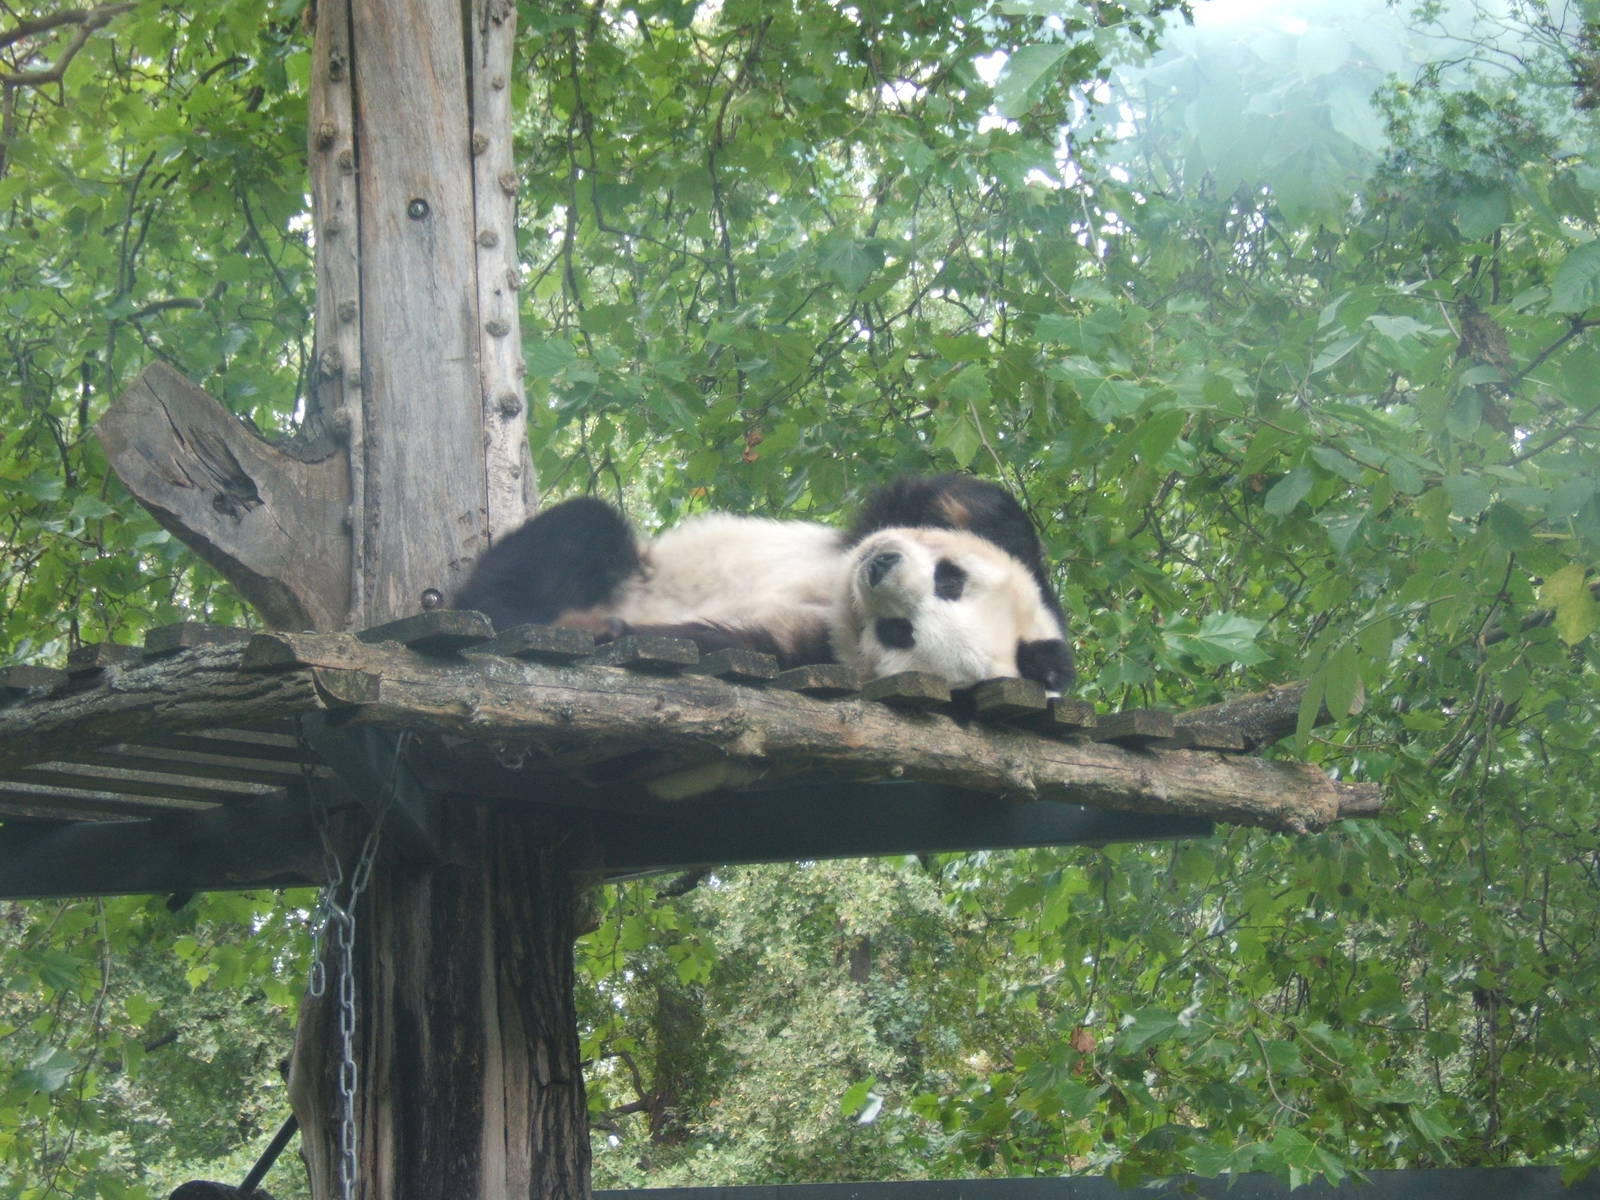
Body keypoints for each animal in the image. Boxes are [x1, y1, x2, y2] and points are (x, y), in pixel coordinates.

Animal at [454, 473, 1075, 694]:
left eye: (900, 631)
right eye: (950, 581)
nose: (878, 568)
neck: (837, 595)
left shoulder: (808, 650)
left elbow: (731, 644)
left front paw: (616, 633)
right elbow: (975, 506)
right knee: (583, 529)